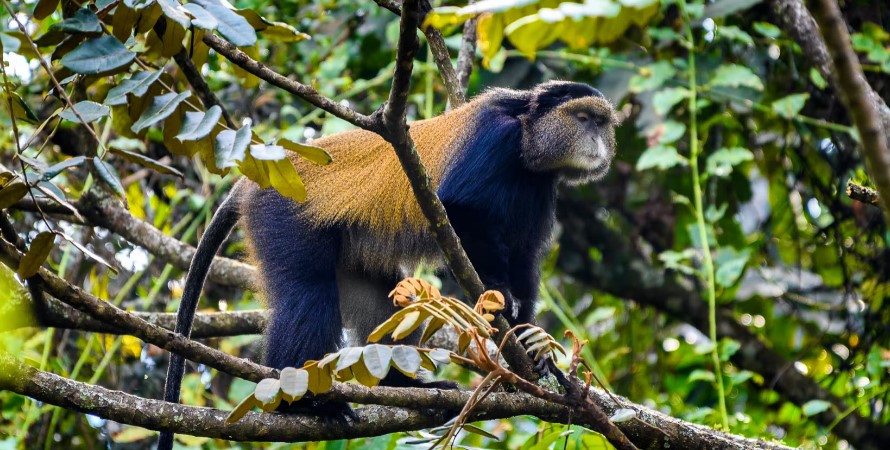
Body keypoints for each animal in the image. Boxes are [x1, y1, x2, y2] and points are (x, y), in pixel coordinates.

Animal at [157, 80, 616, 449]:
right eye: (582, 118)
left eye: (601, 123)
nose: (597, 144)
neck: (526, 135)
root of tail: (259, 175)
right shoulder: (493, 140)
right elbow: (460, 209)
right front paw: (498, 298)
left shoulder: (540, 189)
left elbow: (525, 258)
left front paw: (532, 348)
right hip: (283, 216)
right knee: (306, 292)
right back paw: (302, 405)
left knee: (386, 303)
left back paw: (400, 385)